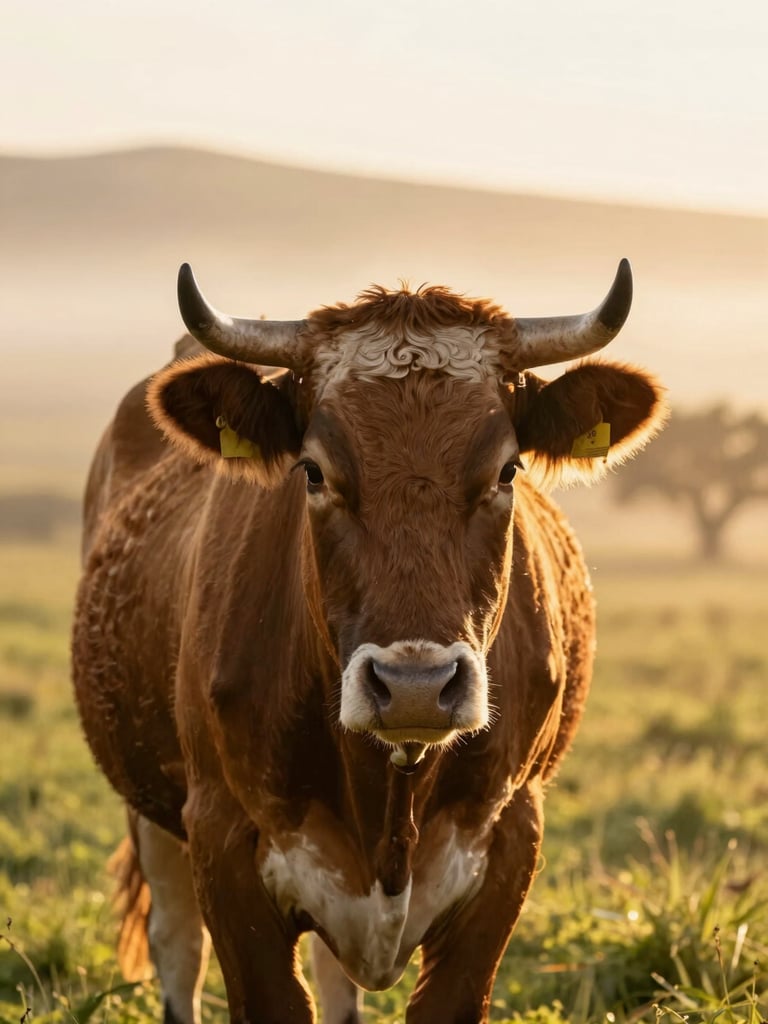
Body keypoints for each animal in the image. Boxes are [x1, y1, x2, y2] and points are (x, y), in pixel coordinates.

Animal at [72, 259, 666, 1024]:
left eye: (507, 470)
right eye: (314, 470)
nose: (415, 687)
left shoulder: (510, 840)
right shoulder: (222, 841)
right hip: (151, 809)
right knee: (177, 944)